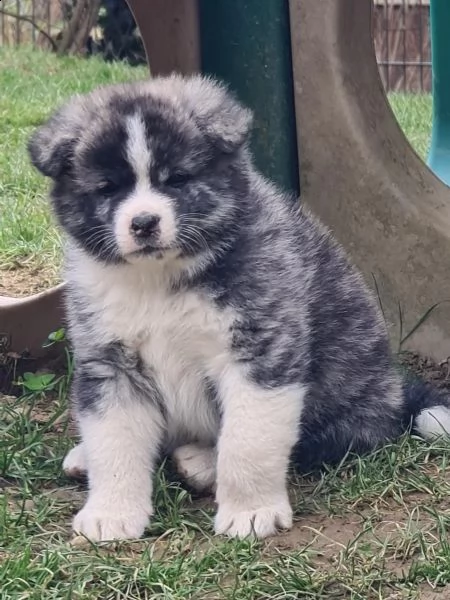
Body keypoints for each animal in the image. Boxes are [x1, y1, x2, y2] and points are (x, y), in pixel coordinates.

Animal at [29, 76, 450, 544]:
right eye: (107, 188)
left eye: (178, 179)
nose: (143, 223)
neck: (160, 279)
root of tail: (394, 396)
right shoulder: (110, 362)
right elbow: (114, 441)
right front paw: (111, 512)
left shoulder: (260, 354)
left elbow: (247, 441)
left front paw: (251, 510)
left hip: (340, 397)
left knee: (309, 443)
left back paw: (201, 463)